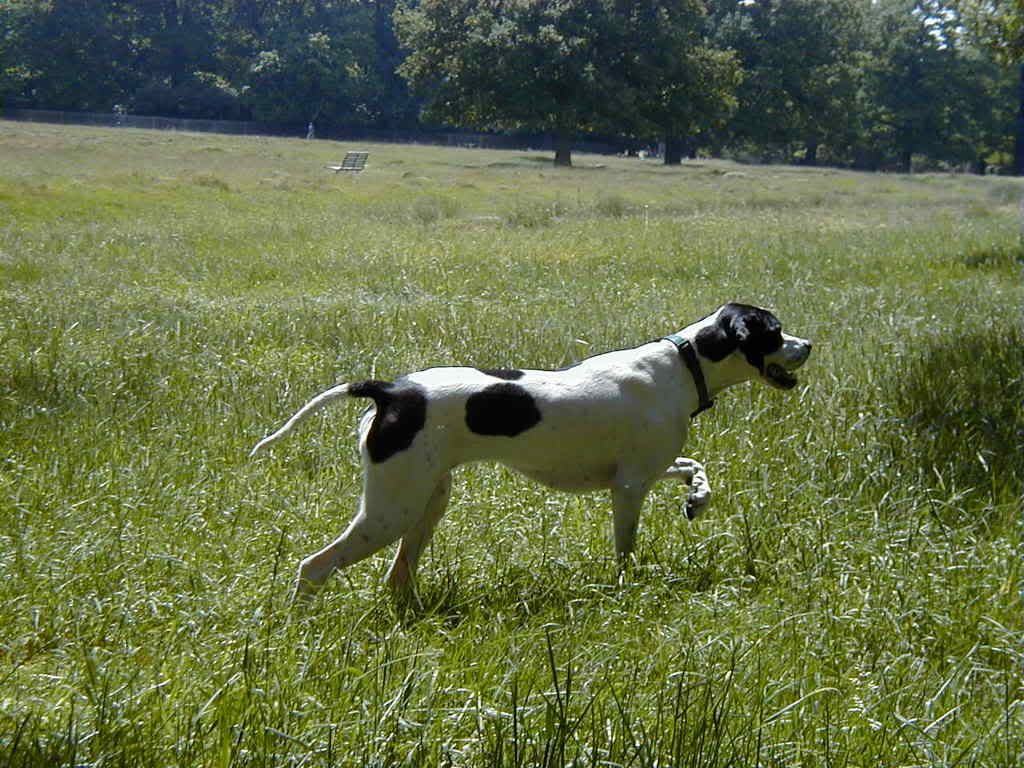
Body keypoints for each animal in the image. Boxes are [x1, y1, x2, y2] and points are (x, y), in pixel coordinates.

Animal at [251, 303, 811, 606]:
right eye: (775, 331)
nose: (808, 345)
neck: (682, 364)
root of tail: (392, 391)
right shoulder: (630, 488)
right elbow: (625, 551)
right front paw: (625, 589)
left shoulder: (644, 469)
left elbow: (696, 468)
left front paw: (697, 499)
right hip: (391, 512)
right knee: (314, 567)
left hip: (426, 504)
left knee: (396, 576)